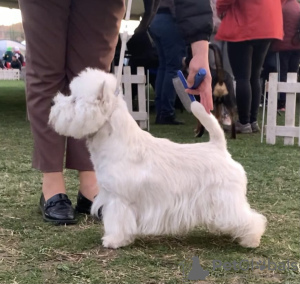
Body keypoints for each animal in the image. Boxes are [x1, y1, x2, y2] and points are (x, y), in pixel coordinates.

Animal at [49, 68, 268, 248]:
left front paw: (114, 240)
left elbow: (117, 221)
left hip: (226, 198)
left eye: (74, 100)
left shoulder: (119, 199)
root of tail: (219, 147)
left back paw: (251, 240)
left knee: (249, 217)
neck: (116, 141)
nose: (53, 105)